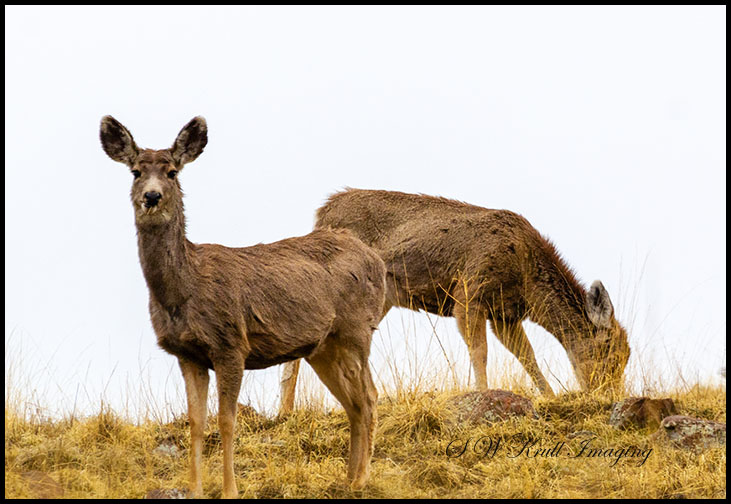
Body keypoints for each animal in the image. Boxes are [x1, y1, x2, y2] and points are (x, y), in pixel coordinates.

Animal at [99, 118, 386, 498]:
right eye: (135, 172)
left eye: (173, 172)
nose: (152, 196)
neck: (184, 290)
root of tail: (377, 261)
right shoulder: (187, 354)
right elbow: (196, 422)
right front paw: (195, 489)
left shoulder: (231, 344)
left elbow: (226, 420)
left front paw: (230, 490)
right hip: (323, 347)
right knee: (352, 403)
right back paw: (348, 479)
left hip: (356, 330)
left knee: (369, 397)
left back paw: (363, 478)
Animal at [280, 188, 631, 414]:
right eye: (610, 351)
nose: (610, 392)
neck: (525, 275)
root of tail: (322, 214)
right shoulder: (469, 291)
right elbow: (480, 351)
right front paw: (484, 394)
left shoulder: (504, 315)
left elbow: (525, 354)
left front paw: (549, 394)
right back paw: (285, 409)